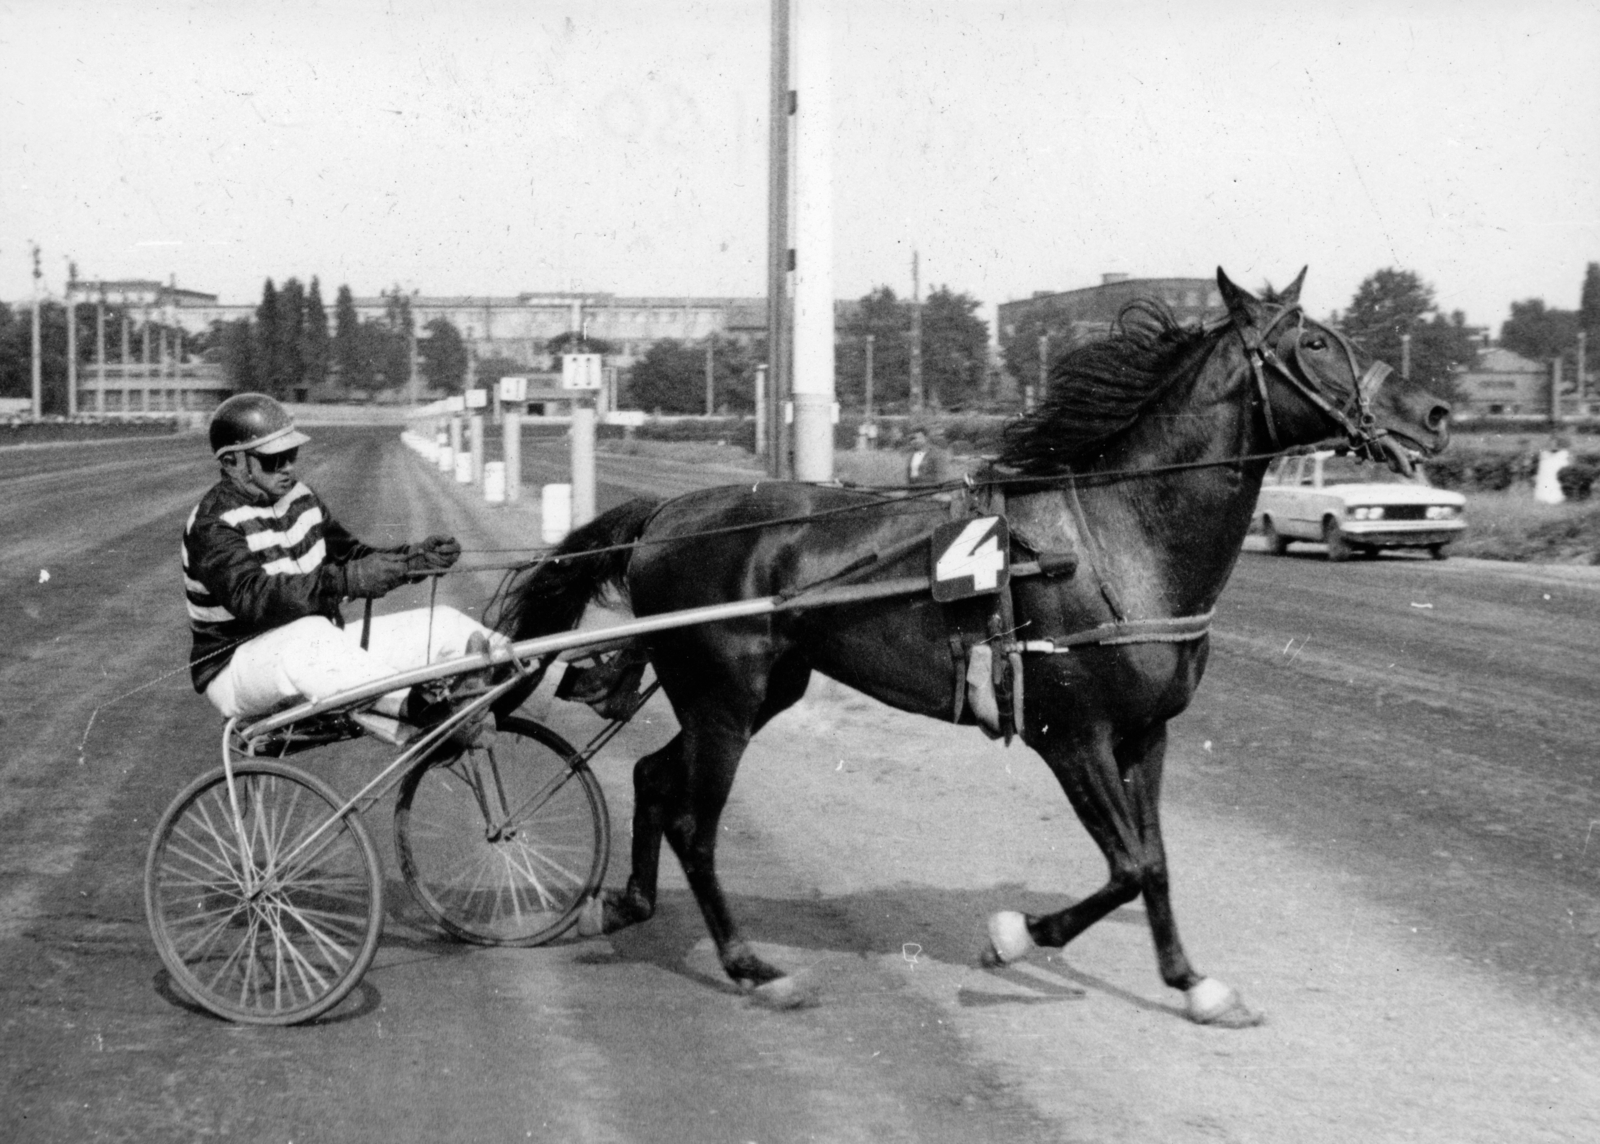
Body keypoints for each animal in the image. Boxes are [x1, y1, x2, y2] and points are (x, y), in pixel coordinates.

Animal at [496, 270, 1452, 1030]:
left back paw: (627, 903)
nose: (1436, 413)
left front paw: (1192, 983)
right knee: (695, 822)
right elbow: (1128, 865)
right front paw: (1015, 937)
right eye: (1316, 342)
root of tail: (665, 513)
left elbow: (1157, 864)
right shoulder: (1072, 735)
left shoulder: (1147, 734)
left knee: (653, 778)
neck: (1112, 537)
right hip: (724, 697)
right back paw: (752, 967)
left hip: (759, 690)